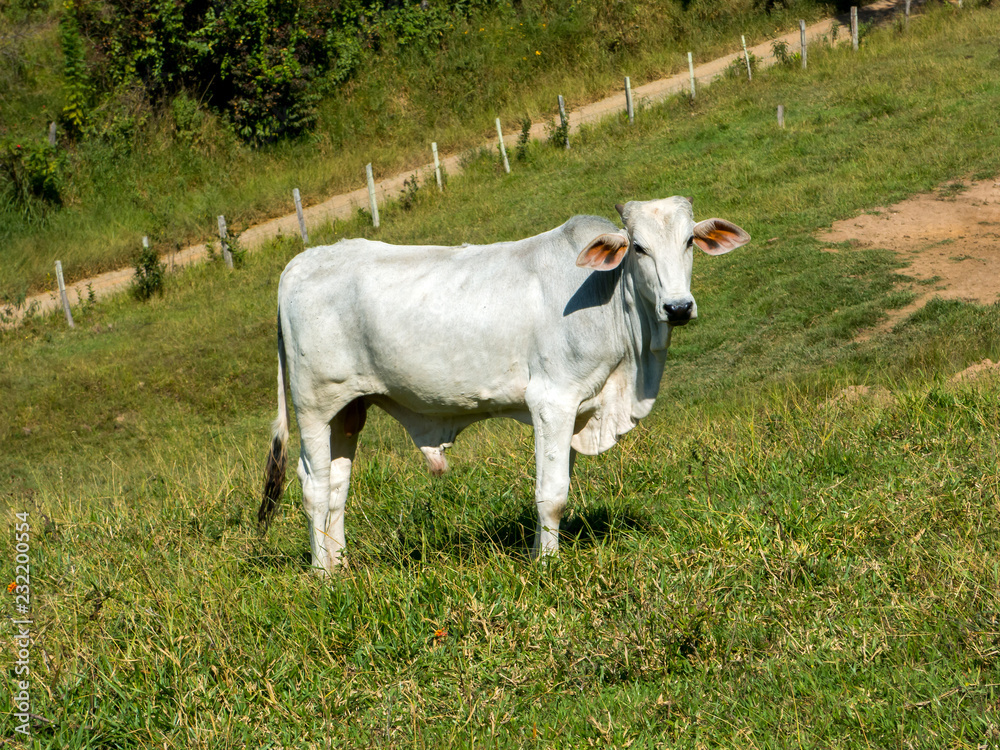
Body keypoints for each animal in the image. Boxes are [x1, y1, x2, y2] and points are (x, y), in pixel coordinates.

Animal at [259, 197, 749, 574]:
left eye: (689, 242)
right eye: (640, 248)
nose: (678, 307)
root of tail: (301, 262)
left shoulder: (574, 410)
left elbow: (558, 484)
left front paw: (541, 553)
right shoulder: (552, 401)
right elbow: (552, 493)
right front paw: (547, 565)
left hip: (349, 409)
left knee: (337, 486)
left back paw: (341, 563)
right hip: (315, 406)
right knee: (314, 486)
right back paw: (323, 574)